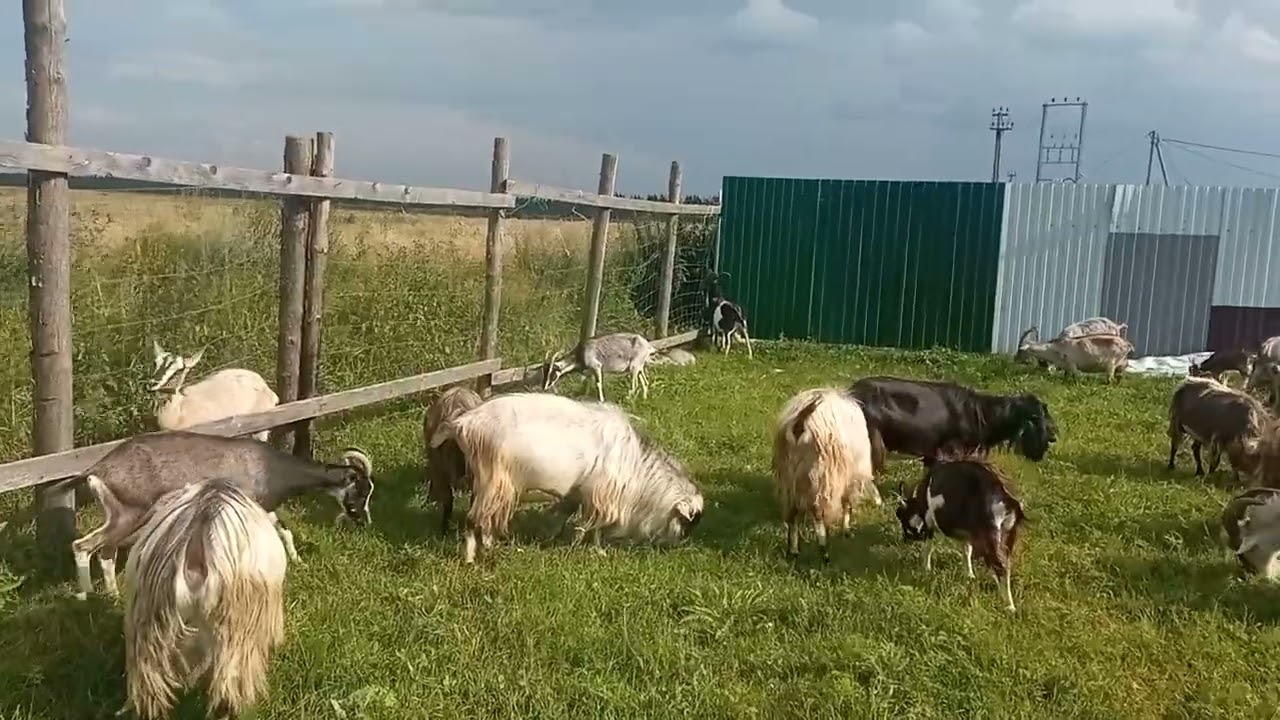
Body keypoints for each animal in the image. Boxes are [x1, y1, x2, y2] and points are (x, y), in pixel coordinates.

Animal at [45, 430, 373, 600]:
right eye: (360, 490)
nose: (364, 520)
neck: (269, 467)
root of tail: (98, 468)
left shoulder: (263, 508)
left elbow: (284, 530)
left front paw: (298, 560)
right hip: (129, 515)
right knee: (87, 547)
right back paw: (93, 596)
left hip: (121, 517)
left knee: (100, 551)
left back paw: (106, 595)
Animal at [429, 392, 704, 564]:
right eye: (688, 521)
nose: (680, 546)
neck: (634, 462)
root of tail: (462, 423)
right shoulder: (600, 495)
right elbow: (592, 526)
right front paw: (592, 550)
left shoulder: (578, 493)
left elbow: (565, 517)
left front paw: (553, 539)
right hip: (493, 479)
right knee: (473, 519)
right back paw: (469, 558)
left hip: (490, 484)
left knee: (485, 518)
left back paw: (488, 545)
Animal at [771, 388, 881, 562]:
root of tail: (800, 422)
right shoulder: (851, 477)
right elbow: (847, 504)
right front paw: (846, 530)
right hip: (823, 475)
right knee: (818, 512)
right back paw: (824, 551)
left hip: (790, 475)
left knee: (792, 512)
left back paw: (793, 551)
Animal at [893, 451, 1027, 612]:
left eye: (900, 515)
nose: (905, 538)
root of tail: (1003, 494)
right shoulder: (967, 534)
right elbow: (966, 550)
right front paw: (969, 575)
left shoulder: (929, 521)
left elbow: (928, 547)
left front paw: (926, 569)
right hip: (1009, 533)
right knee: (1006, 563)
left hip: (990, 532)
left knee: (1000, 566)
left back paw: (1009, 607)